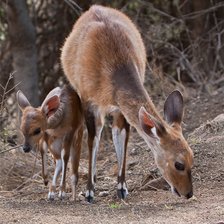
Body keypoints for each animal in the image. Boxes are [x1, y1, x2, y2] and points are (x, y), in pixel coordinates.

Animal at [60, 5, 192, 202]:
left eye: (192, 157)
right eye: (179, 164)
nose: (189, 193)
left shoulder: (120, 108)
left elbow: (123, 138)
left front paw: (122, 188)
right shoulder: (88, 101)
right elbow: (92, 140)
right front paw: (89, 192)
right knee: (91, 134)